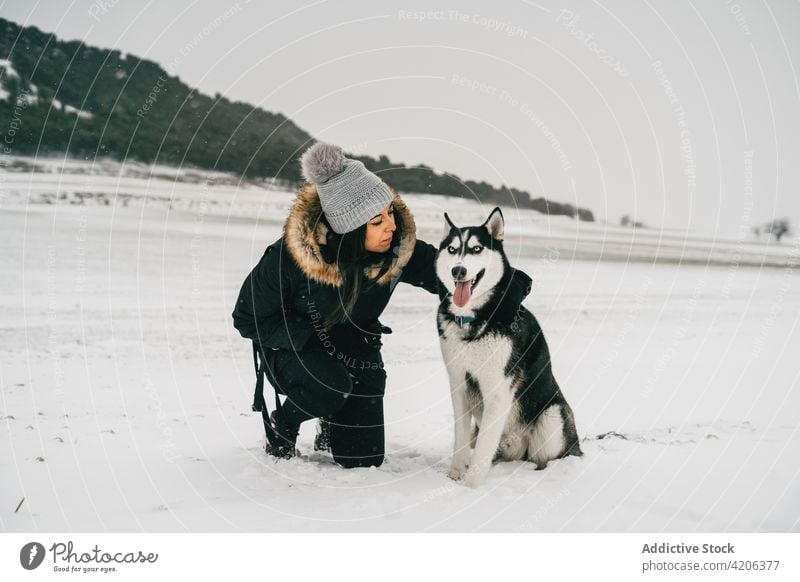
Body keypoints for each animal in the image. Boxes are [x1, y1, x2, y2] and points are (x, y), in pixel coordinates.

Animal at [438, 208, 580, 490]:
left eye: (477, 248)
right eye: (452, 249)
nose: (458, 270)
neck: (476, 318)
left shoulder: (498, 389)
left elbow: (484, 444)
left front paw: (471, 486)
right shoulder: (459, 383)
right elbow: (461, 437)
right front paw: (455, 474)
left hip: (552, 419)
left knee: (546, 456)